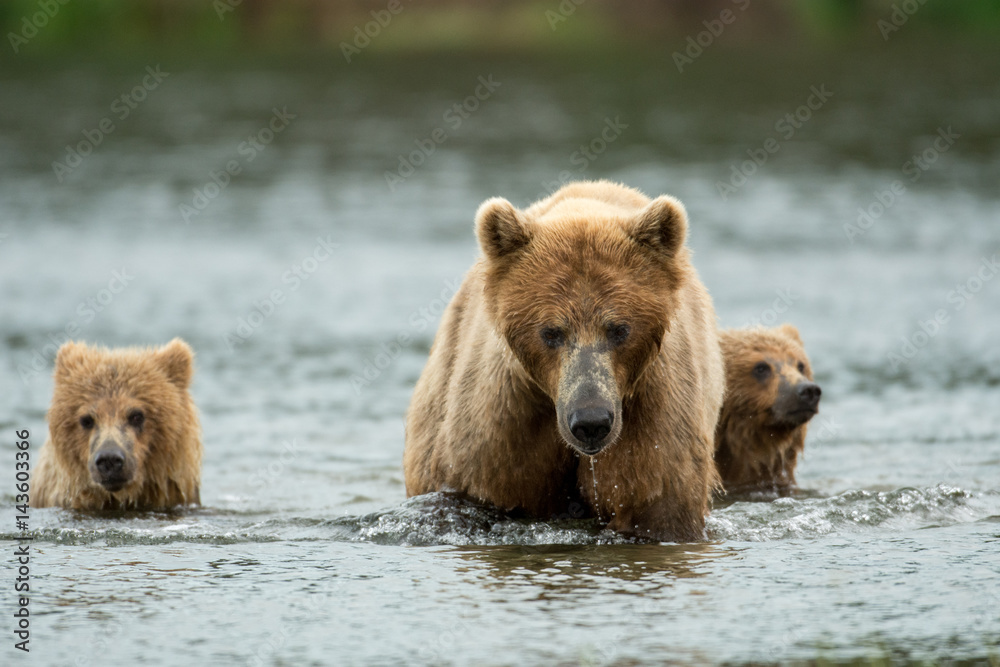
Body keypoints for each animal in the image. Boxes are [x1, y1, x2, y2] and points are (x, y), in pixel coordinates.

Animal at [404, 180, 725, 542]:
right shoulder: (501, 427)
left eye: (619, 329)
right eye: (551, 331)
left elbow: (656, 500)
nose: (591, 421)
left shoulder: (653, 414)